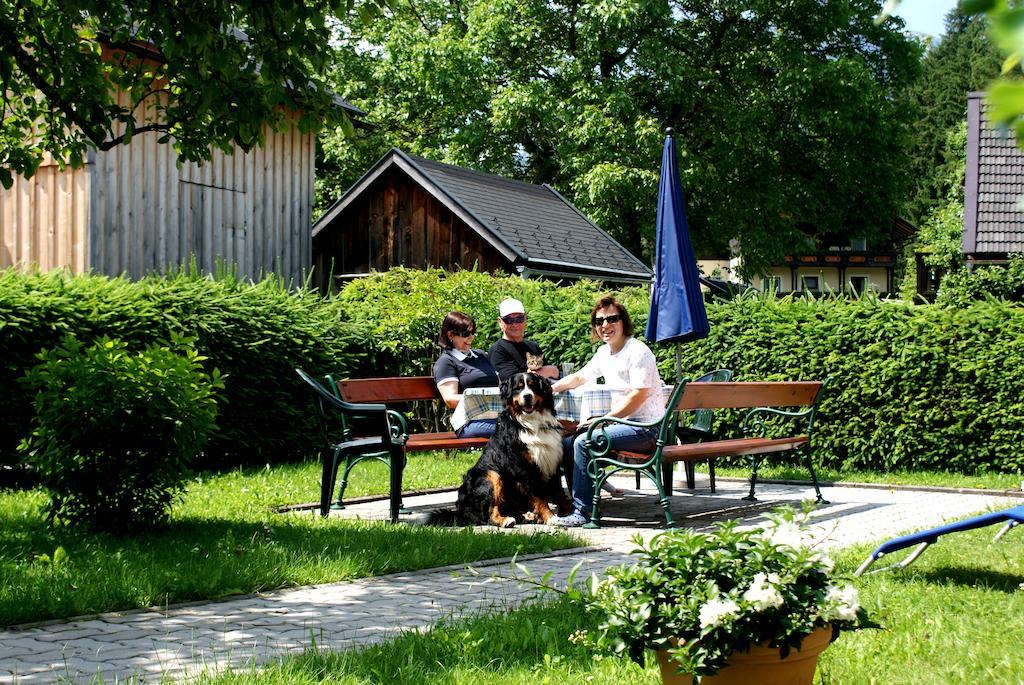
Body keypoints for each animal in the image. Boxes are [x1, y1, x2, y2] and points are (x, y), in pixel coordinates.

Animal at [430, 370, 569, 528]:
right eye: (518, 388)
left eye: (533, 386)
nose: (527, 396)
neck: (532, 424)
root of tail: (462, 509)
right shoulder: (524, 468)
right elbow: (539, 497)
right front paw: (550, 517)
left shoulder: (552, 461)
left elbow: (559, 492)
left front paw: (570, 510)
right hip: (491, 475)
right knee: (487, 514)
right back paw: (506, 520)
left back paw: (528, 515)